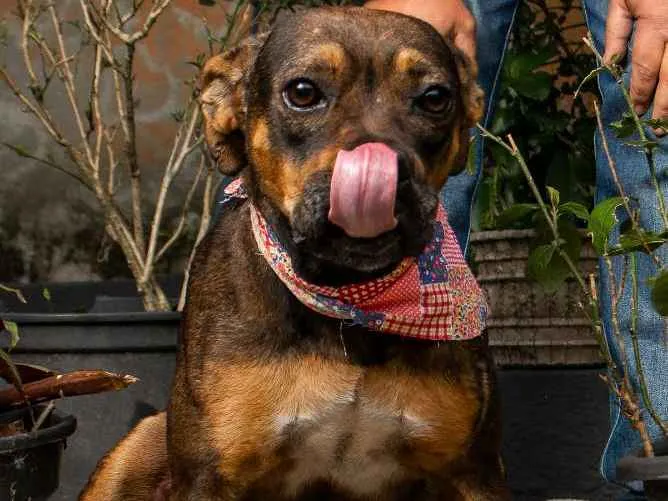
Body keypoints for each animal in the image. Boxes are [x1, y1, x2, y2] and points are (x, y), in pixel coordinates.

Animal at [81, 6, 508, 500]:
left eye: (435, 98)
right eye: (303, 92)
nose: (382, 170)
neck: (347, 297)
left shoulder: (474, 473)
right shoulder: (206, 476)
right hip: (139, 442)